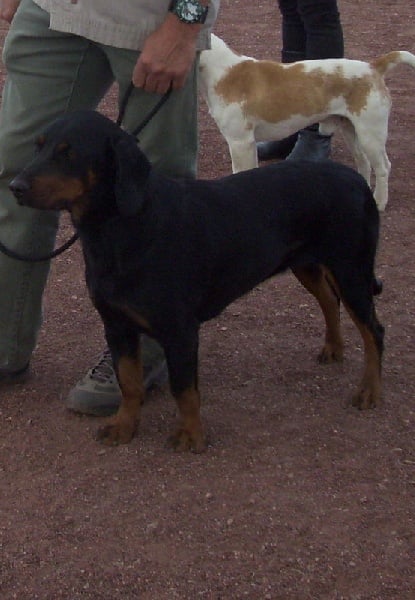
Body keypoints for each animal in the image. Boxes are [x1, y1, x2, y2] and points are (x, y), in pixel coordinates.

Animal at [9, 111, 386, 450]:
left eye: (68, 152)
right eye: (38, 146)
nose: (15, 187)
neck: (123, 228)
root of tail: (357, 180)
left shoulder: (180, 330)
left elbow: (184, 388)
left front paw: (191, 435)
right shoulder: (117, 325)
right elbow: (129, 382)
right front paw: (124, 426)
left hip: (351, 270)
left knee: (373, 331)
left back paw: (369, 390)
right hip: (306, 263)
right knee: (329, 300)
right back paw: (333, 348)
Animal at [199, 34, 415, 211]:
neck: (224, 71)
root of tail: (373, 67)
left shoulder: (240, 143)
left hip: (370, 136)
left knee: (383, 167)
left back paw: (380, 202)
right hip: (351, 132)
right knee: (363, 162)